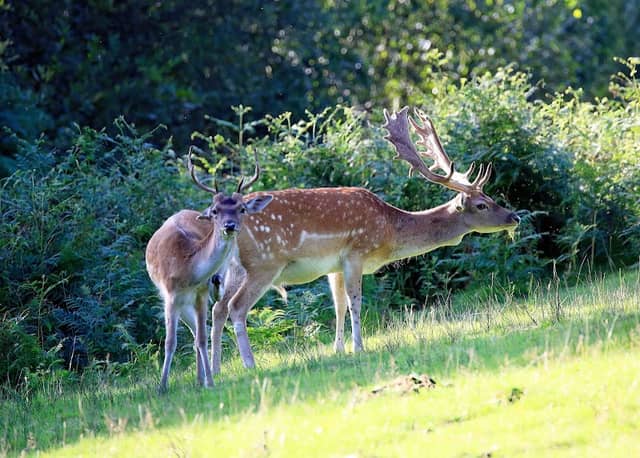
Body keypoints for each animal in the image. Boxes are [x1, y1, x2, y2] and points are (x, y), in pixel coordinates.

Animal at [145, 148, 273, 392]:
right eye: (215, 210)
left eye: (242, 209)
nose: (229, 225)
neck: (186, 269)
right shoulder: (170, 295)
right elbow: (170, 342)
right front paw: (162, 386)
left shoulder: (200, 294)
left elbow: (202, 339)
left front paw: (210, 382)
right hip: (179, 303)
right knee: (192, 332)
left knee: (198, 332)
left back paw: (200, 378)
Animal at [209, 107, 520, 374]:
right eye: (481, 205)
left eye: (490, 197)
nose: (514, 217)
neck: (389, 230)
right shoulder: (356, 252)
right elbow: (355, 301)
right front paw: (358, 347)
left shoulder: (333, 265)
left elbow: (337, 304)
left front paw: (338, 349)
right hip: (264, 264)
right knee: (236, 307)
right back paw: (249, 364)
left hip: (234, 269)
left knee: (218, 308)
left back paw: (215, 370)